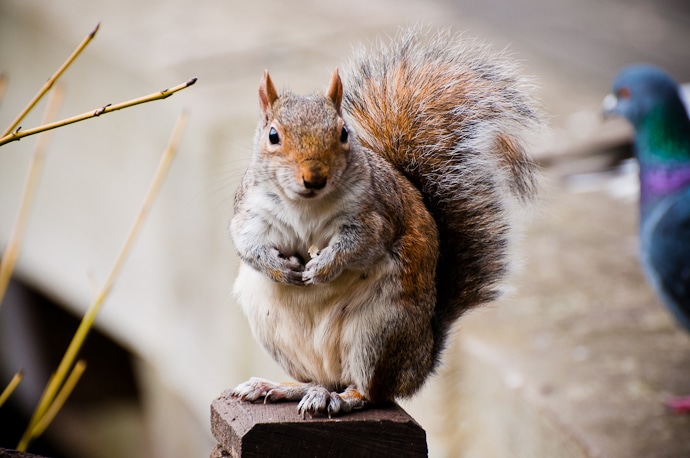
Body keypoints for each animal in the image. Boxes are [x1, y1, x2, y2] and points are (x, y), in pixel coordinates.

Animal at [228, 26, 540, 416]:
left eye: (343, 133)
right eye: (273, 135)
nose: (314, 178)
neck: (306, 207)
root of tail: (422, 362)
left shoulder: (375, 216)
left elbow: (359, 246)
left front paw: (324, 267)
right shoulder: (251, 212)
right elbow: (247, 243)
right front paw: (280, 267)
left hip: (379, 333)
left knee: (371, 392)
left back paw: (341, 398)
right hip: (276, 331)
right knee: (315, 380)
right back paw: (281, 387)